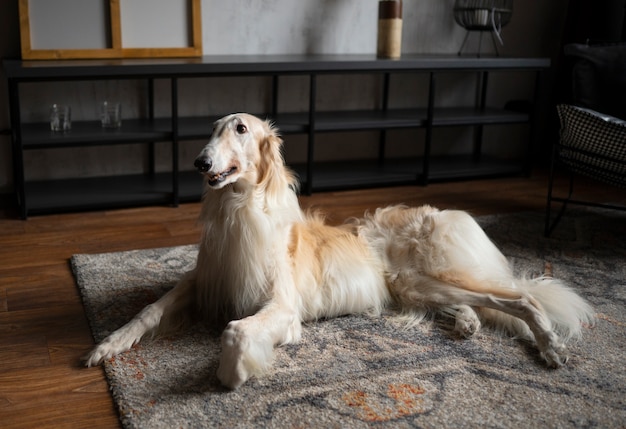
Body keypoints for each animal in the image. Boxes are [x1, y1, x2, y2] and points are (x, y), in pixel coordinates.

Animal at [84, 112, 596, 390]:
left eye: (241, 129)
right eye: (212, 131)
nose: (199, 162)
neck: (239, 209)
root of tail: (442, 211)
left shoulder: (282, 307)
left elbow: (234, 332)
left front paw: (235, 373)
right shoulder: (203, 278)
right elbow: (149, 310)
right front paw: (107, 345)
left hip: (430, 274)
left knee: (518, 297)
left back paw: (549, 346)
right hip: (418, 286)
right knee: (477, 303)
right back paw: (469, 324)